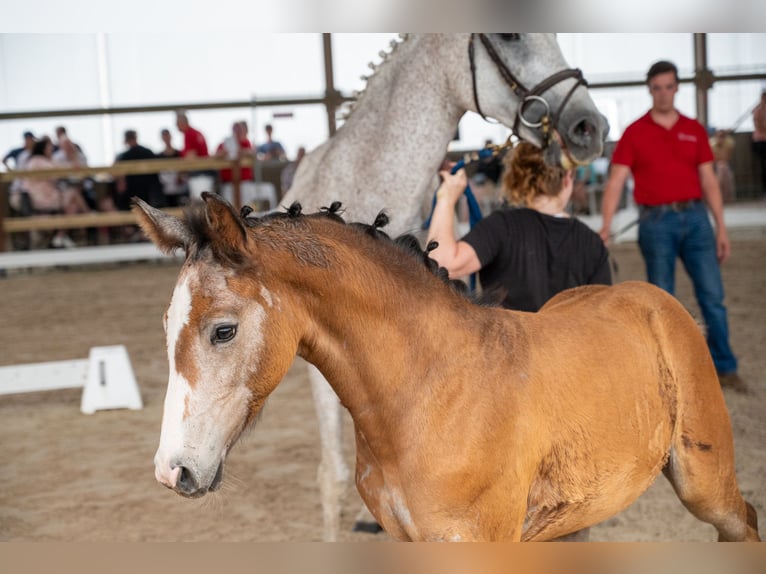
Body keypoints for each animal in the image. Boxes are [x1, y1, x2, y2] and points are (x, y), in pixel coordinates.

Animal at [137, 193, 760, 542]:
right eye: (166, 326)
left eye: (223, 330)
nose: (172, 471)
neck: (430, 390)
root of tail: (653, 299)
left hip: (706, 486)